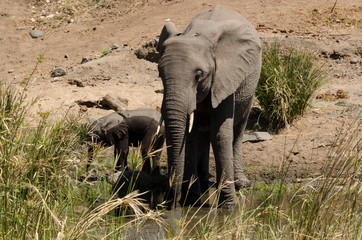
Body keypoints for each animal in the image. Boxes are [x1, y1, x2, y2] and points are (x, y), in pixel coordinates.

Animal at [157, 4, 262, 208]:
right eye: (160, 73)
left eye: (199, 75)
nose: (168, 203)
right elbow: (190, 135)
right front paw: (192, 201)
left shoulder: (225, 77)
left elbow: (220, 133)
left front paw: (229, 206)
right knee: (202, 133)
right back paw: (204, 183)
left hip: (250, 88)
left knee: (237, 131)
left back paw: (241, 184)